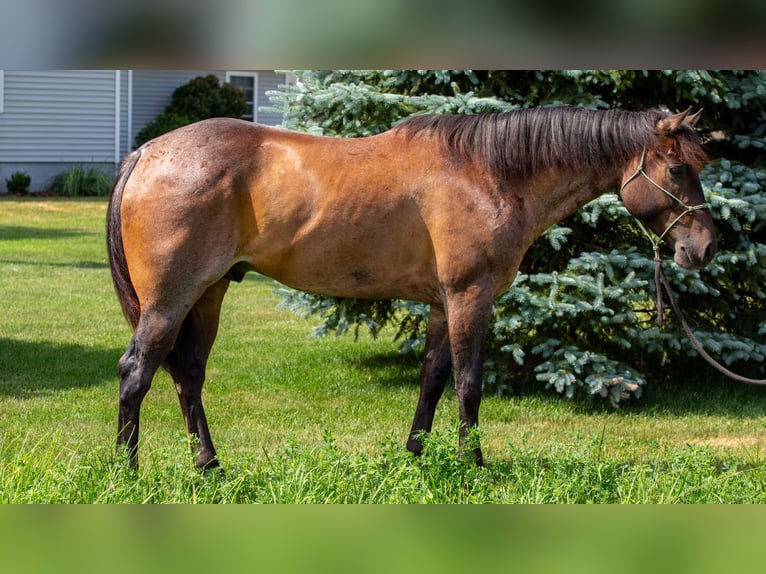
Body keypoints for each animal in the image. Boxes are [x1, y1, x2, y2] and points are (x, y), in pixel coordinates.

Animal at [107, 106, 716, 470]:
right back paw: (127, 469)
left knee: (187, 375)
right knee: (137, 371)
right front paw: (474, 464)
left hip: (208, 293)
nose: (707, 247)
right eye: (677, 169)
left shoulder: (443, 303)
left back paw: (209, 466)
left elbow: (433, 379)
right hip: (170, 300)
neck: (489, 173)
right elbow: (469, 383)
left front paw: (417, 454)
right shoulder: (471, 296)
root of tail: (147, 153)